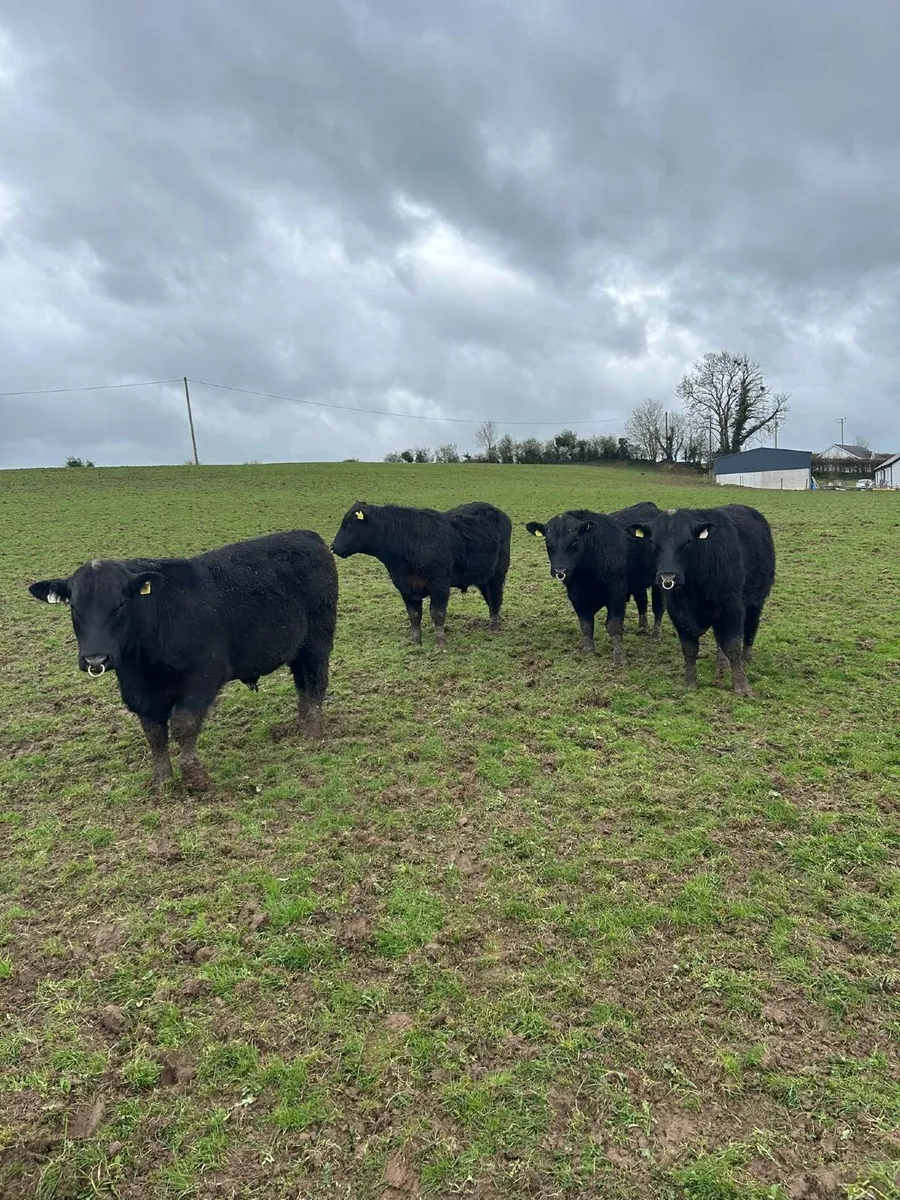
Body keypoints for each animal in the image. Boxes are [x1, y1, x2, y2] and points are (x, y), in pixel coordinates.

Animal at [28, 530, 338, 789]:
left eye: (120, 604)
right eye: (74, 607)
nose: (95, 657)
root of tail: (308, 537)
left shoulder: (204, 674)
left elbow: (183, 724)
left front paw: (194, 776)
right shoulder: (139, 692)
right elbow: (154, 732)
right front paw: (161, 779)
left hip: (318, 641)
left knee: (316, 681)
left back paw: (312, 732)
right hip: (297, 648)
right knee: (302, 684)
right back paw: (300, 725)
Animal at [331, 500, 512, 648]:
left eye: (348, 525)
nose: (333, 547)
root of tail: (499, 512)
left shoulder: (439, 584)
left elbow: (437, 613)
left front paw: (440, 643)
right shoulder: (404, 586)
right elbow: (414, 615)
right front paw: (415, 641)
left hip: (498, 573)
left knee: (496, 597)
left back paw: (493, 627)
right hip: (483, 577)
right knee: (490, 599)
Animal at [525, 509, 631, 666]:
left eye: (574, 541)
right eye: (548, 543)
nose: (560, 571)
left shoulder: (617, 593)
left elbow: (614, 625)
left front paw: (619, 657)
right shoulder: (576, 595)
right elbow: (586, 623)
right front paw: (588, 650)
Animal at [625, 504, 775, 696]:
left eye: (688, 541)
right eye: (653, 542)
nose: (668, 576)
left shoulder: (732, 608)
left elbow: (733, 646)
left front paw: (742, 686)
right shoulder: (678, 612)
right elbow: (689, 648)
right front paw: (690, 682)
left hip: (756, 601)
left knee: (751, 627)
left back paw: (746, 658)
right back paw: (721, 665)